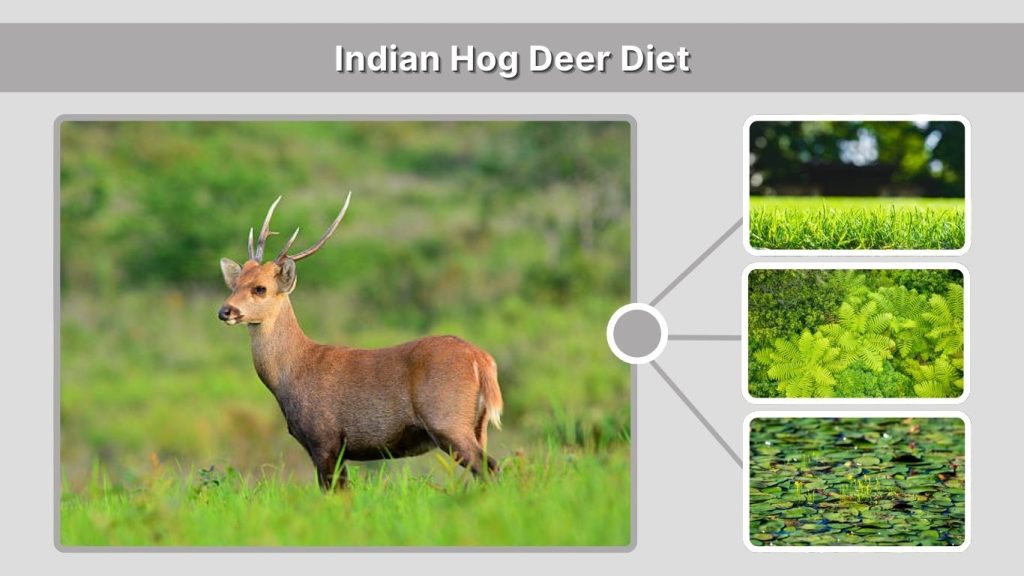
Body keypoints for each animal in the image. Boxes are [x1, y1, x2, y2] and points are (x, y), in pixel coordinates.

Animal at [217, 194, 503, 490]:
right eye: (234, 284)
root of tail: (481, 360)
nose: (225, 311)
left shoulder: (325, 438)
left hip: (447, 419)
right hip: (478, 425)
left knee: (489, 466)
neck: (292, 373)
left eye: (260, 288)